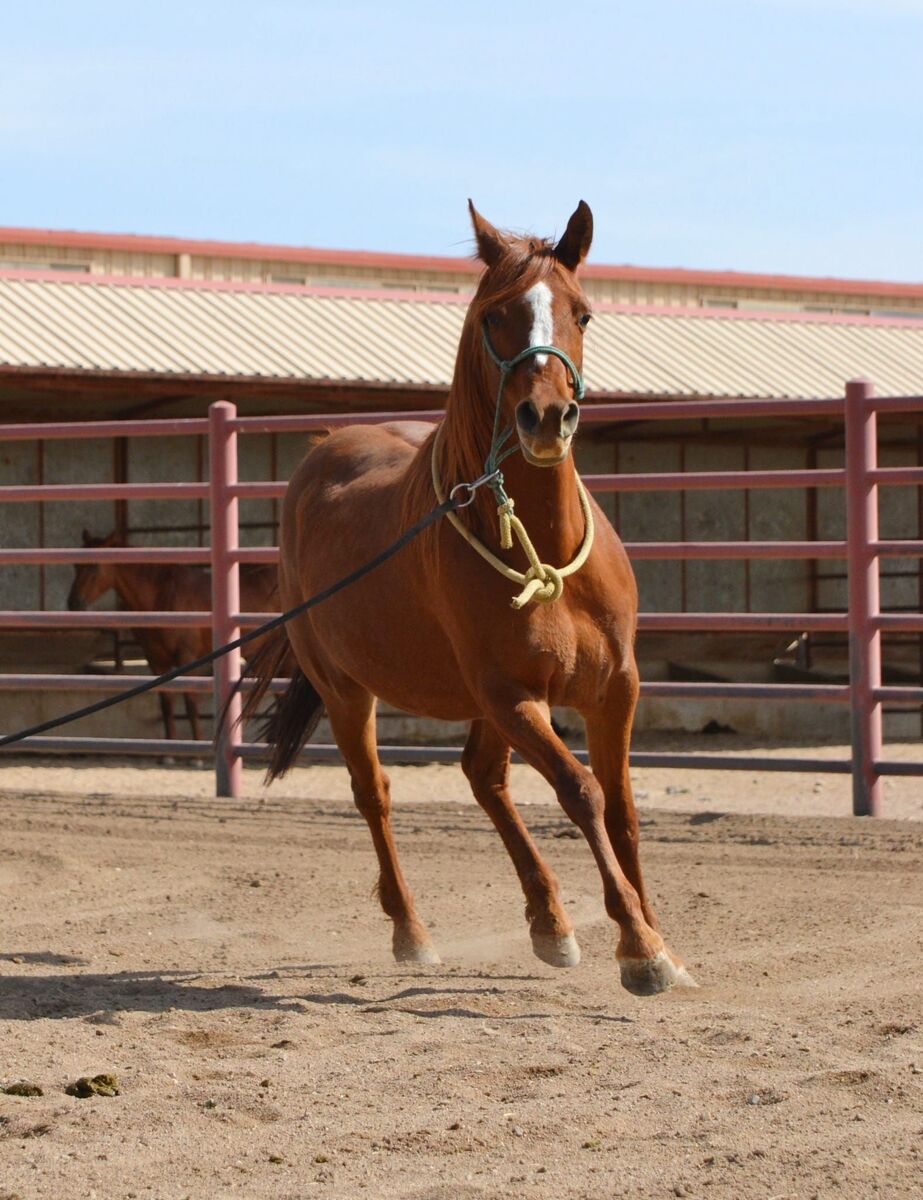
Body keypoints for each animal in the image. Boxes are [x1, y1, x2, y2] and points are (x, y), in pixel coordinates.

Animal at [68, 531, 280, 742]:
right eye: (76, 565)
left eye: (94, 566)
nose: (74, 603)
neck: (162, 597)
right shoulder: (156, 660)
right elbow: (166, 704)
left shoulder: (186, 657)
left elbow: (190, 703)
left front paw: (197, 747)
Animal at [242, 202, 694, 996]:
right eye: (495, 315)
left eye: (582, 312)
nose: (546, 417)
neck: (545, 550)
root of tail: (324, 452)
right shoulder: (512, 695)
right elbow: (582, 792)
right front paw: (639, 947)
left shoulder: (614, 690)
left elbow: (624, 812)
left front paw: (656, 937)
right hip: (348, 691)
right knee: (375, 793)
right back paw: (412, 932)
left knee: (483, 778)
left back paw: (549, 923)